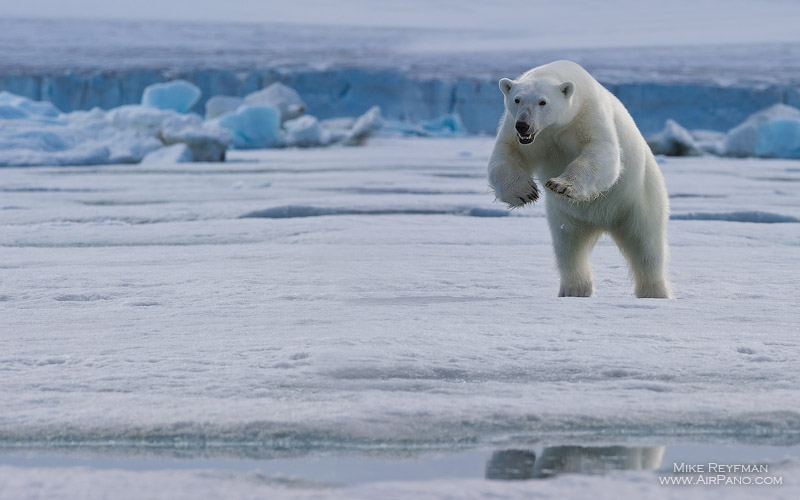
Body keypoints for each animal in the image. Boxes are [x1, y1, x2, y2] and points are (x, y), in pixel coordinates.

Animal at [488, 61, 668, 298]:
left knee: (646, 245)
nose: (524, 125)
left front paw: (561, 185)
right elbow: (507, 154)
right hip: (566, 216)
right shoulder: (518, 129)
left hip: (640, 198)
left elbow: (602, 152)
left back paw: (654, 292)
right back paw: (573, 290)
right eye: (517, 99)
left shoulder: (589, 115)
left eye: (542, 101)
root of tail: (602, 222)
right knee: (568, 247)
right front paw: (525, 192)